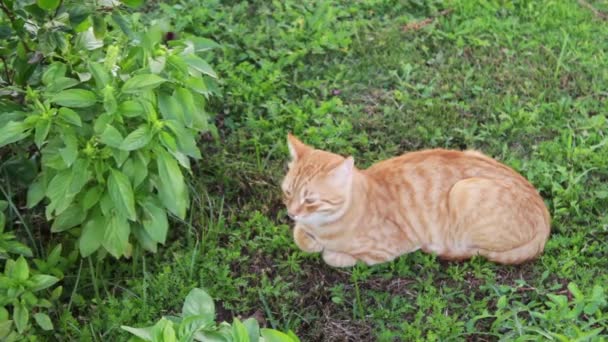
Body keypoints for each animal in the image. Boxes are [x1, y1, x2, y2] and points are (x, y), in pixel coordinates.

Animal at [280, 134, 552, 268]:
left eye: (310, 200)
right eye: (287, 193)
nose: (291, 213)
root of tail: (545, 217)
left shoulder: (390, 248)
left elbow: (333, 257)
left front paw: (327, 250)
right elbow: (300, 237)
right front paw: (308, 238)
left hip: (463, 191)